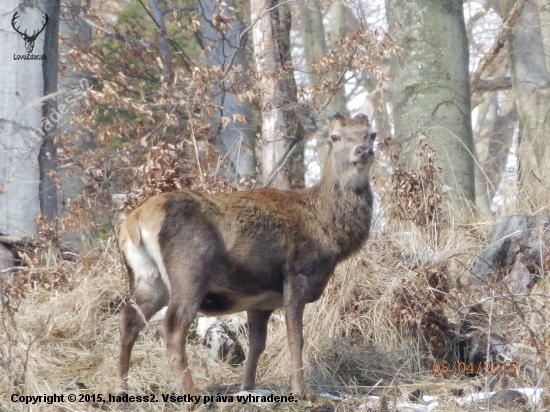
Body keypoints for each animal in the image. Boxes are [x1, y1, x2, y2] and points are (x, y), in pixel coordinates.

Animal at [118, 112, 378, 400]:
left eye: (371, 134)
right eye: (335, 137)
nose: (363, 150)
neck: (327, 230)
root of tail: (135, 221)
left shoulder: (261, 300)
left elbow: (257, 344)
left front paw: (248, 386)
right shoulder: (296, 273)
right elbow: (295, 337)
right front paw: (300, 391)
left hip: (148, 278)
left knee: (129, 321)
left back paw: (121, 390)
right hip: (190, 268)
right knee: (173, 326)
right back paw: (192, 395)